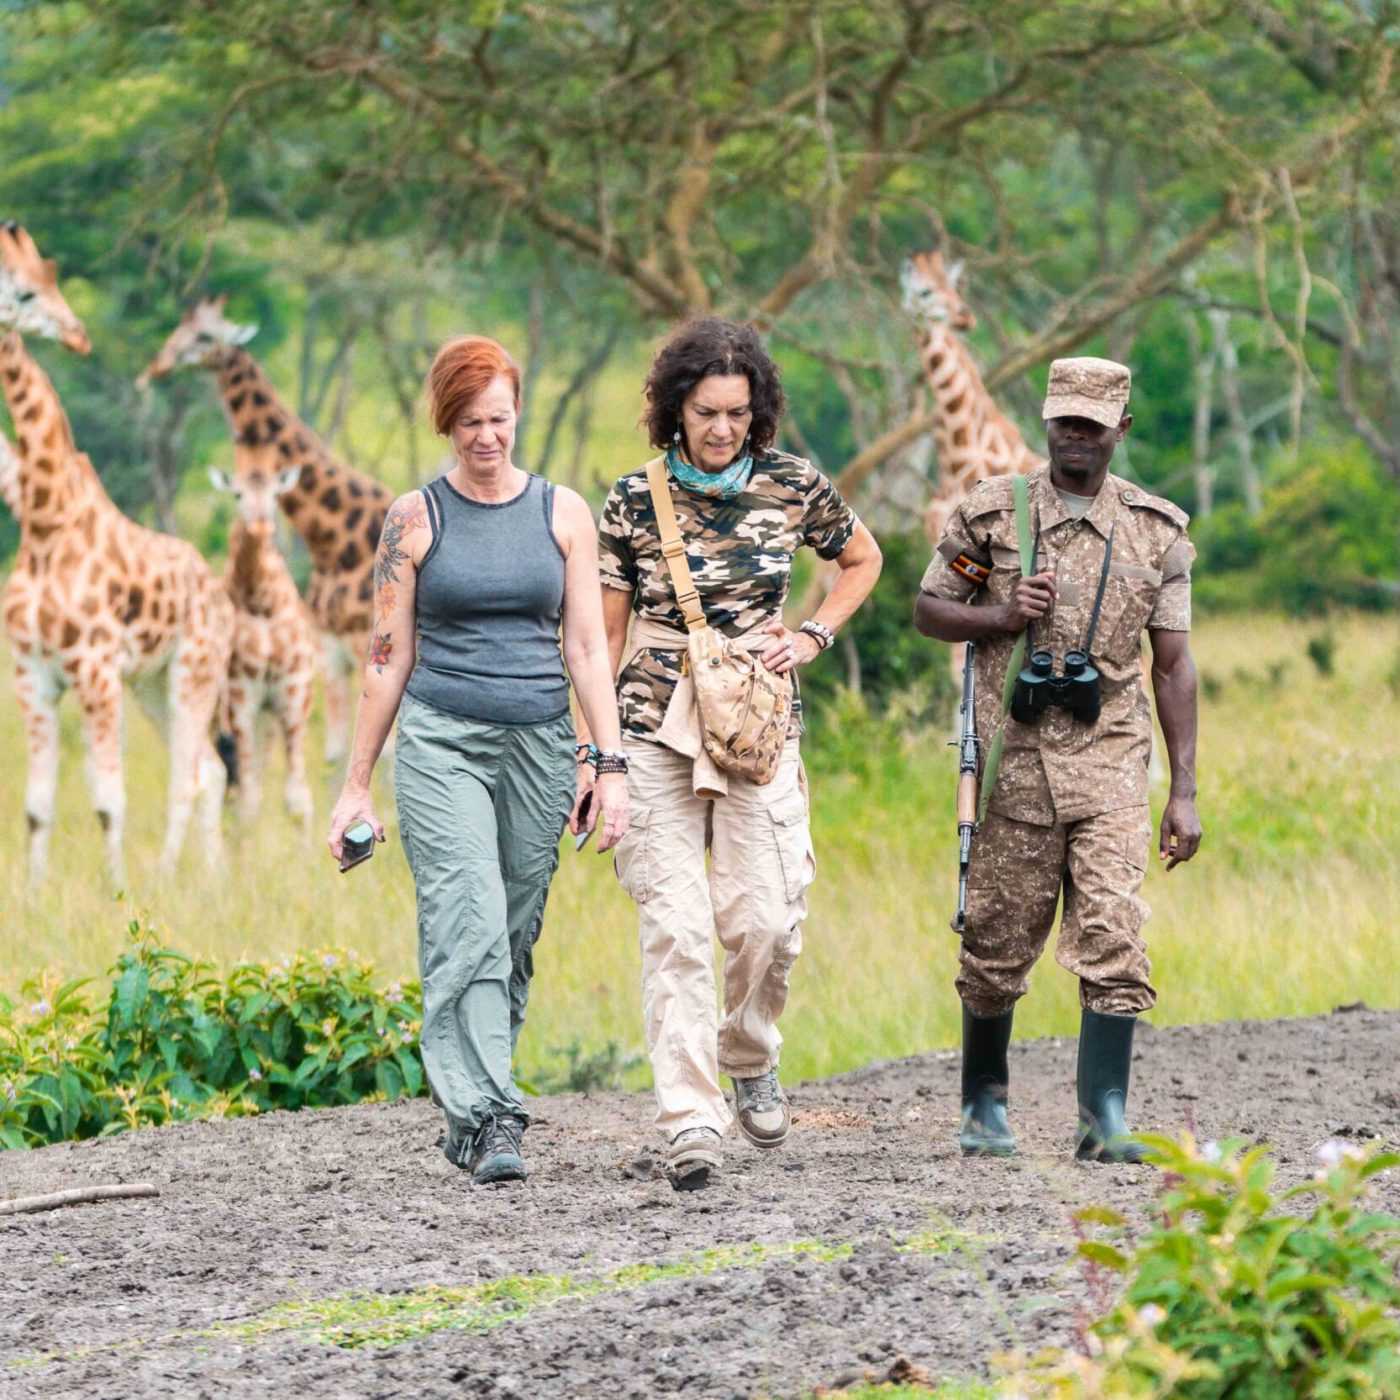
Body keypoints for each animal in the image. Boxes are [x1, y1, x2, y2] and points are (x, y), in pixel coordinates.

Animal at [0, 222, 235, 879]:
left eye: (48, 282)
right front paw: (33, 892)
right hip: (151, 683)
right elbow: (36, 807)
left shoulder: (95, 668)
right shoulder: (31, 674)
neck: (46, 518)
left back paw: (168, 877)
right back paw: (211, 880)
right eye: (23, 293)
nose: (77, 335)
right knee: (211, 768)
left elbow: (108, 799)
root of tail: (224, 599)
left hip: (193, 670)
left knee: (190, 775)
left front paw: (118, 890)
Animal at [141, 299, 392, 767]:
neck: (332, 543)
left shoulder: (353, 644)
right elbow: (339, 754)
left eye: (205, 337)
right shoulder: (332, 647)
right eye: (179, 328)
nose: (156, 366)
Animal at [205, 467, 319, 828]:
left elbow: (298, 798)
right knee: (227, 786)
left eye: (275, 495)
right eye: (237, 495)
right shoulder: (240, 694)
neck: (261, 601)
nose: (259, 525)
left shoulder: (293, 690)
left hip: (266, 724)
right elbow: (248, 799)